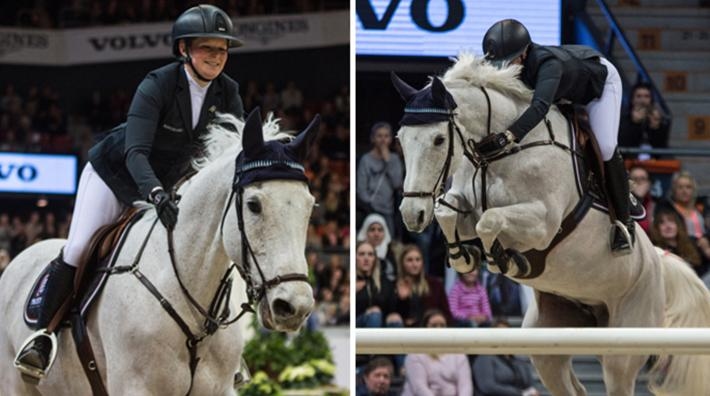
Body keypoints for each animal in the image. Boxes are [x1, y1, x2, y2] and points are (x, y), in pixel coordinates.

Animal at [392, 53, 710, 396]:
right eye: (400, 140)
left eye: (439, 139)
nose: (411, 214)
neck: (499, 152)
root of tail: (659, 263)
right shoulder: (466, 209)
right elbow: (448, 213)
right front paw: (463, 257)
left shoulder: (542, 222)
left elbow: (490, 221)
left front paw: (502, 259)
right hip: (551, 340)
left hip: (623, 346)